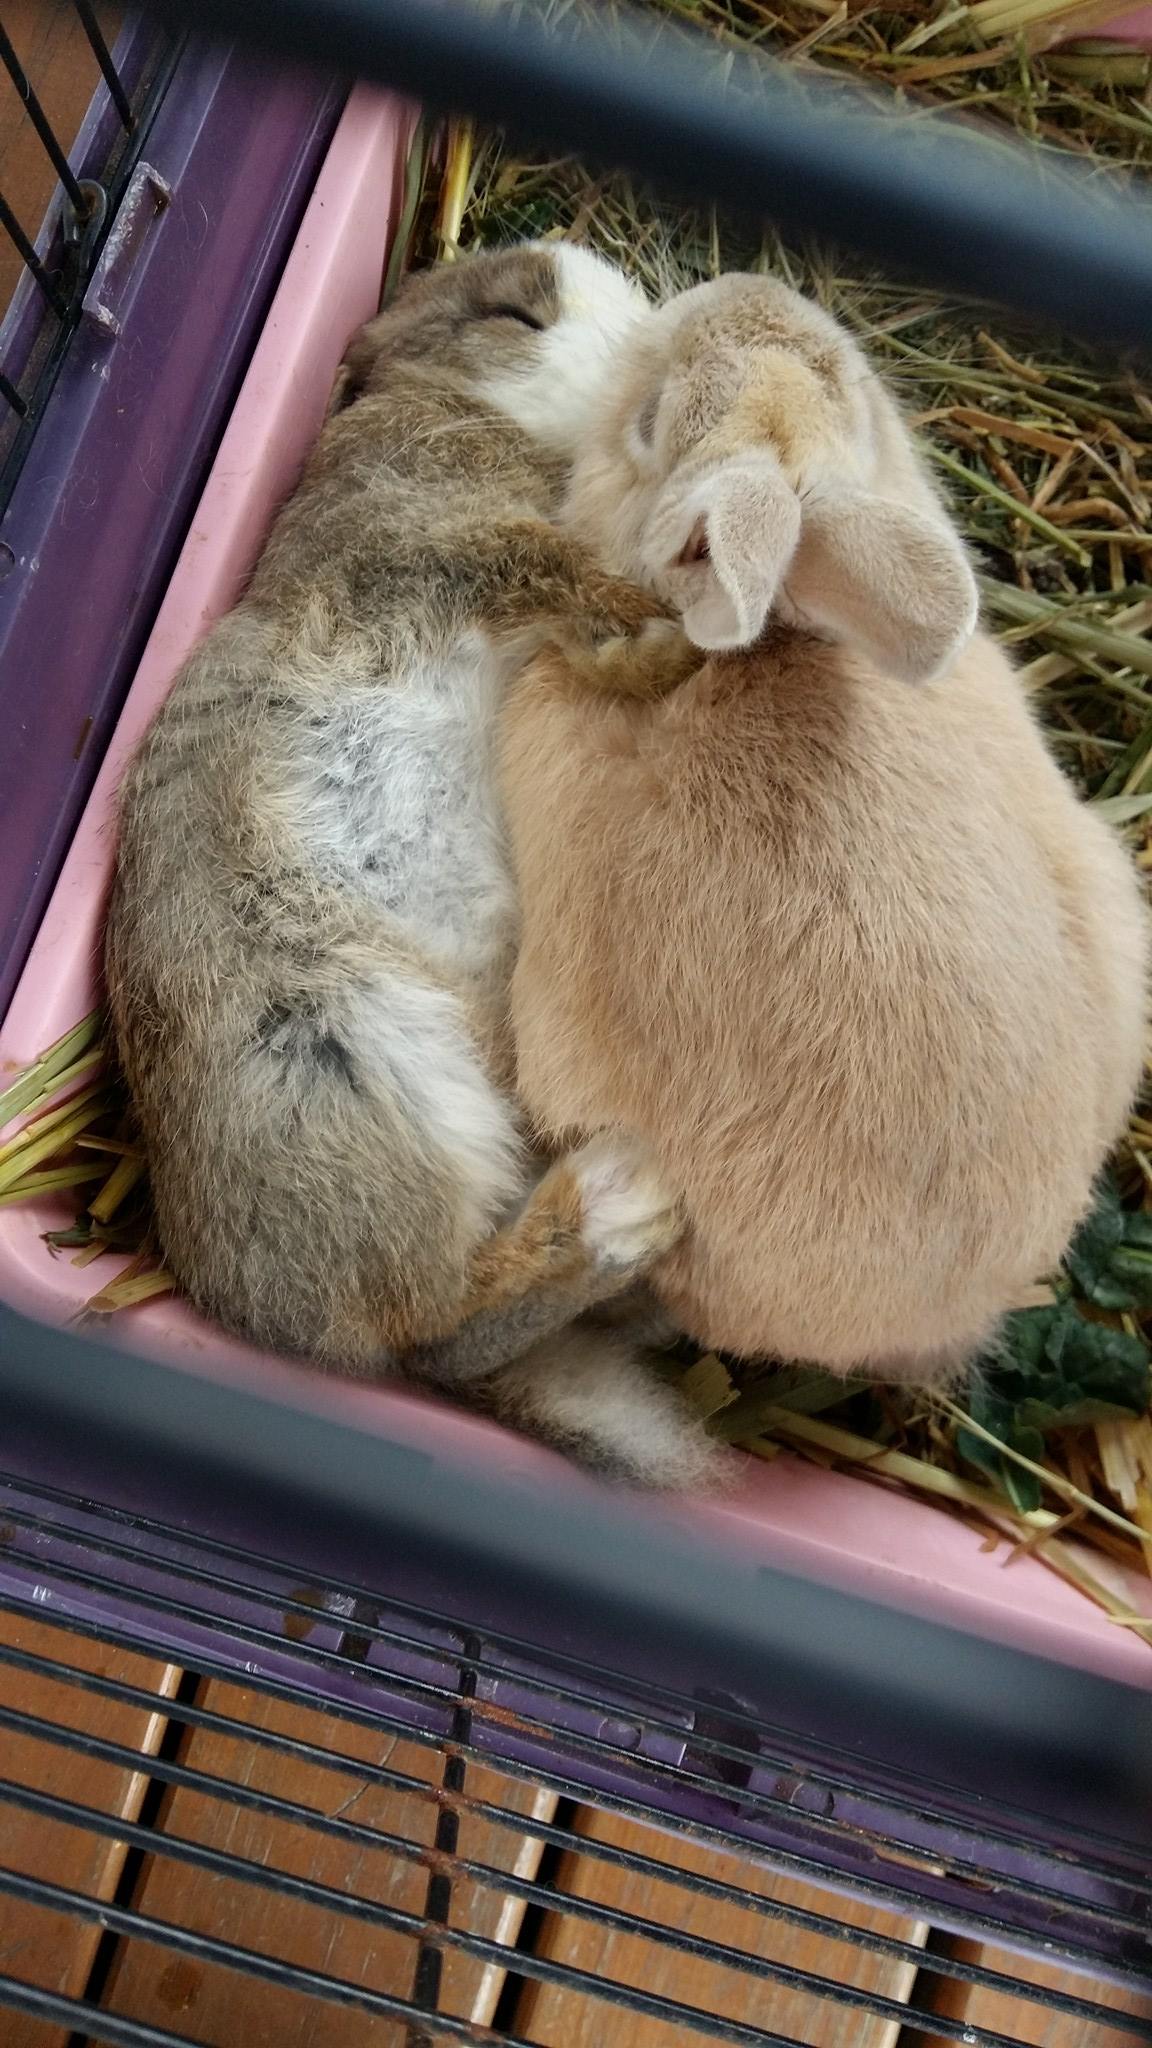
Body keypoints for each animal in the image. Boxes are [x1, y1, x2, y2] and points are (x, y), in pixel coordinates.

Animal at [105, 242, 719, 1488]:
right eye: (517, 316)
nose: (659, 337)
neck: (456, 403)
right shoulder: (445, 552)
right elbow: (575, 576)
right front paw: (691, 622)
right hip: (361, 1076)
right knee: (441, 1322)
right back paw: (624, 1203)